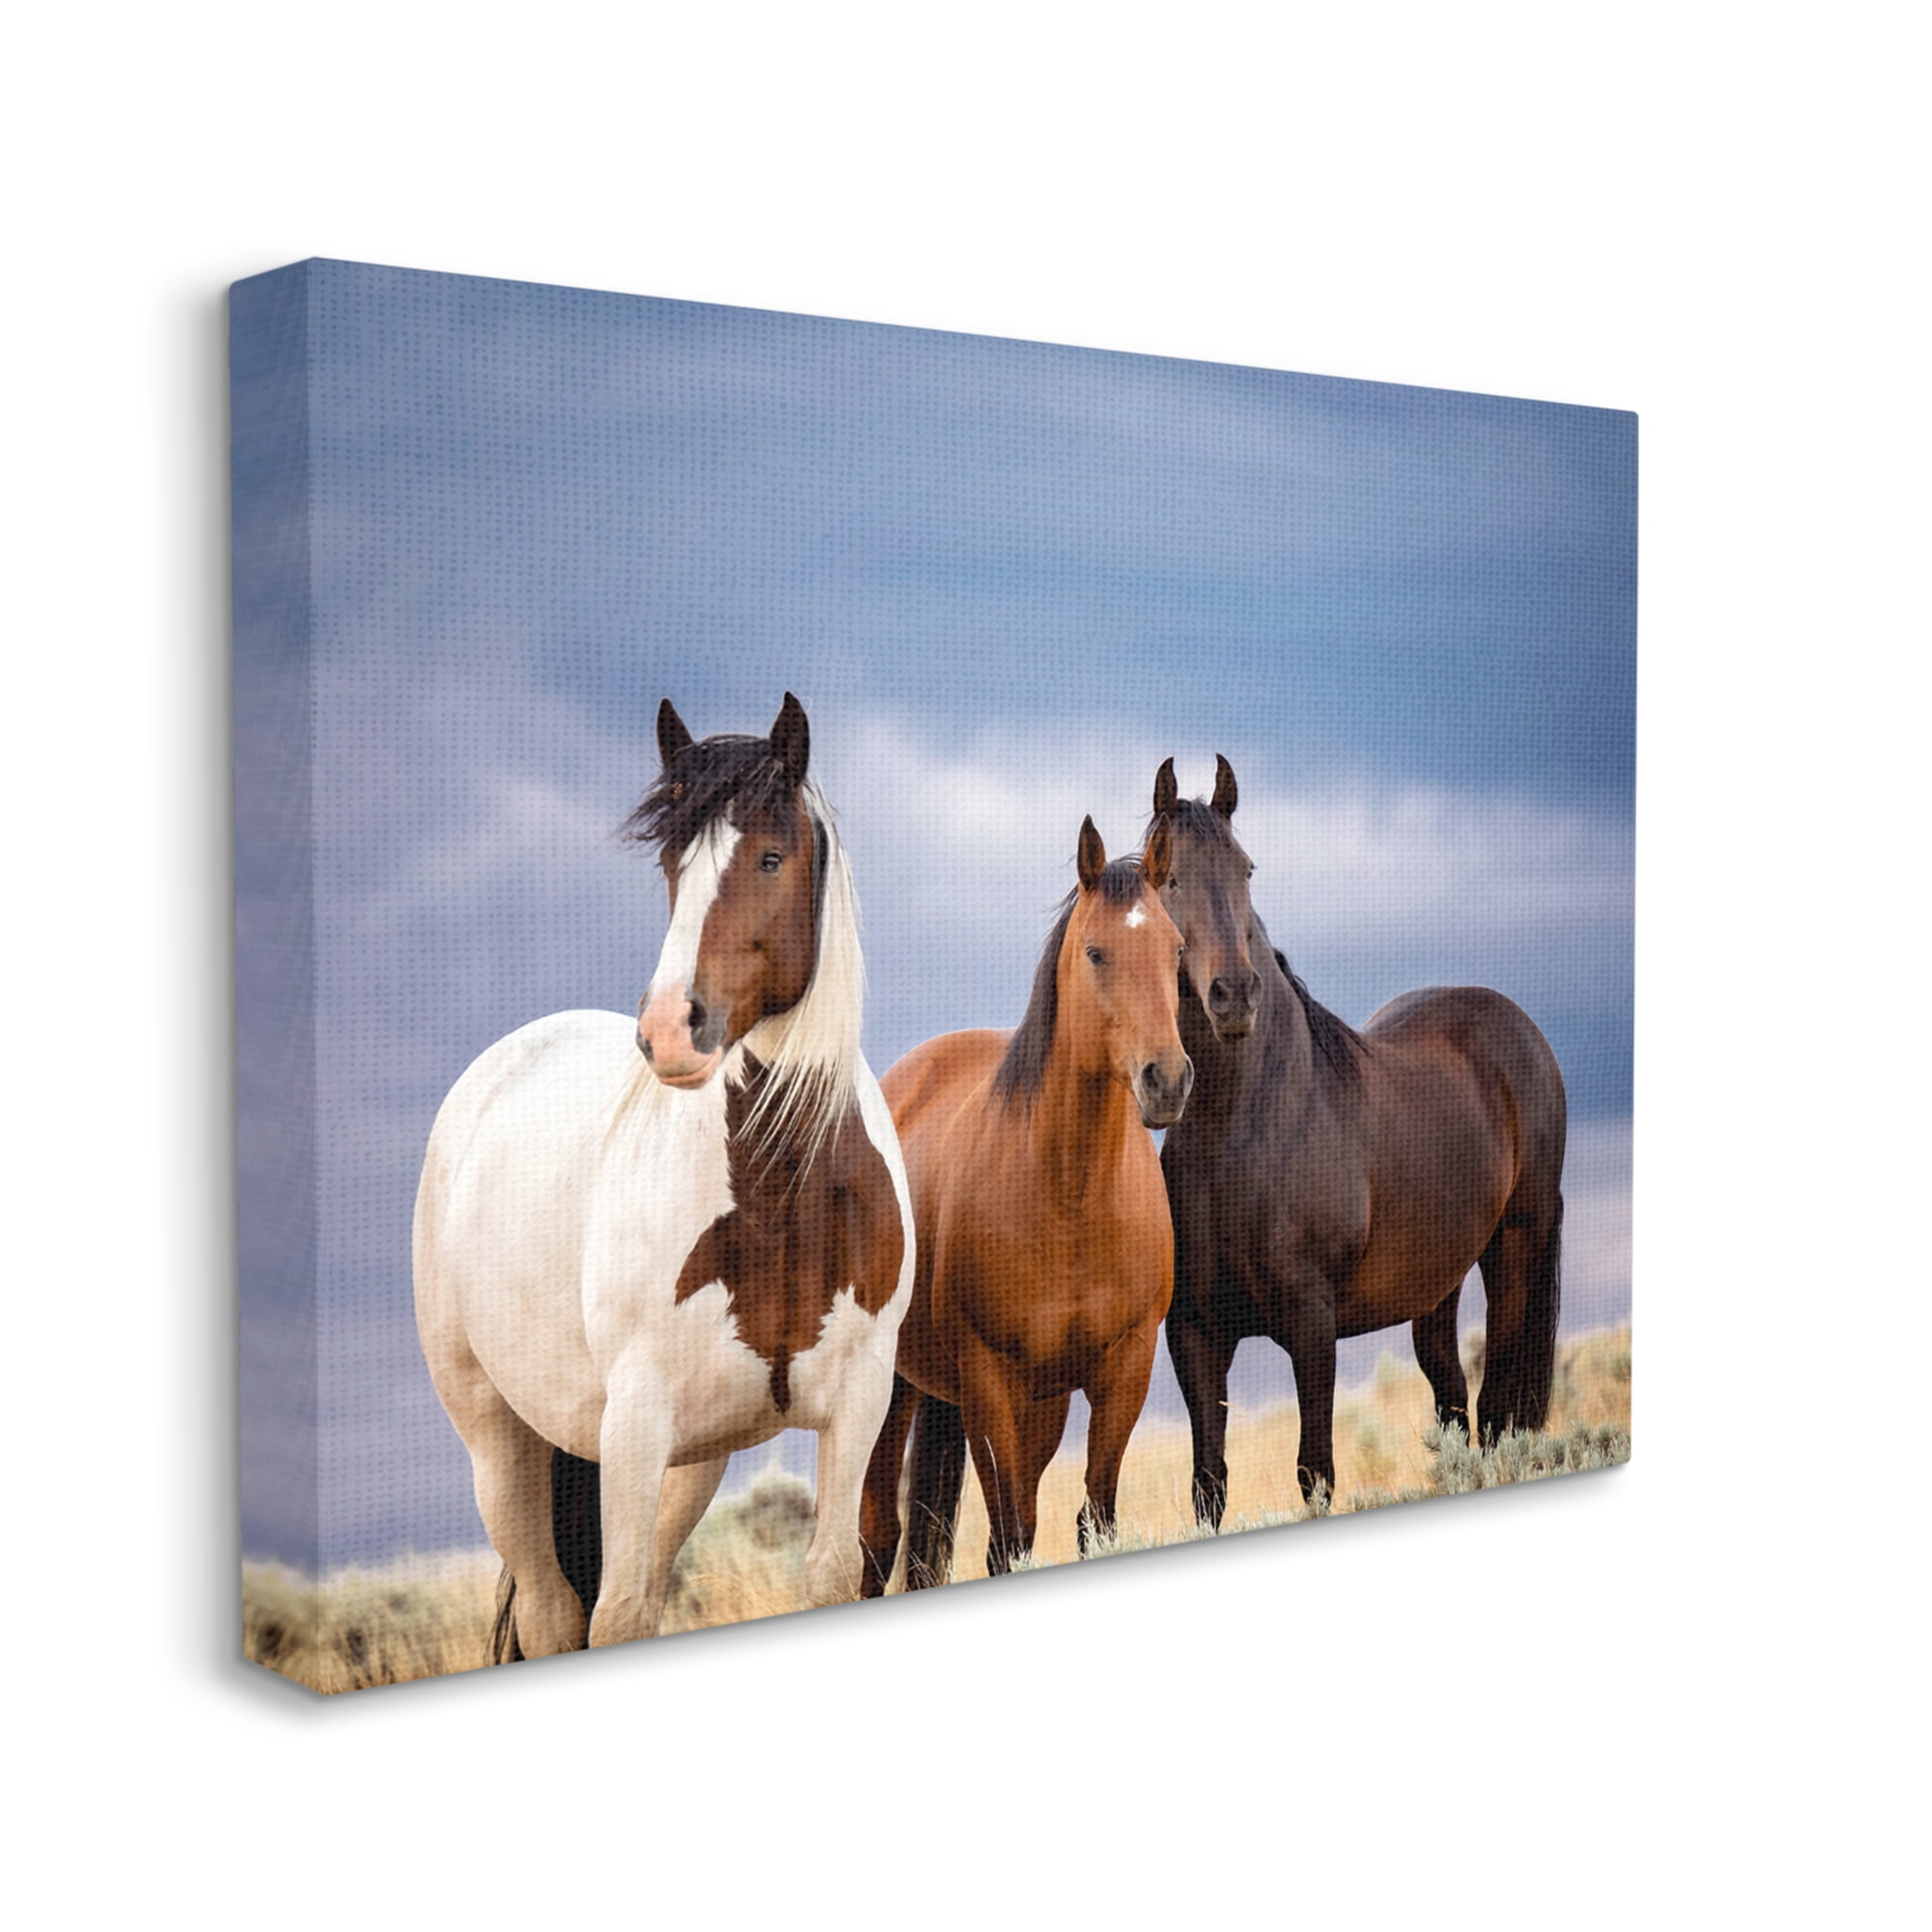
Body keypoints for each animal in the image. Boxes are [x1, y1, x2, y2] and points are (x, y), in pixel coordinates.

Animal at [413, 693, 915, 1654]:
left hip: (690, 1463)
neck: (779, 1192)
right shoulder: (636, 1421)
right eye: (673, 864)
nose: (670, 1031)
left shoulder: (858, 1404)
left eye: (770, 855)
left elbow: (834, 1571)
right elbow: (618, 1613)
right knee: (554, 1612)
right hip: (502, 1442)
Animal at [857, 814, 1192, 1591]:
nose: (1167, 1080)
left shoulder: (1121, 1373)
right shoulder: (989, 1384)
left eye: (1176, 949)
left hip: (1035, 1404)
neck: (1070, 1199)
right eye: (1096, 952)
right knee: (878, 1539)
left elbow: (1090, 1518)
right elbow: (1008, 1538)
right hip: (895, 1392)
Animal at [1150, 755, 1567, 1519]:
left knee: (1498, 1412)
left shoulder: (1312, 1329)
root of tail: (1518, 1028)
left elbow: (1315, 1472)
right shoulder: (1195, 1334)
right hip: (1437, 1286)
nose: (1235, 995)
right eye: (1168, 878)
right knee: (1454, 1405)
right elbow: (1208, 1484)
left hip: (1516, 1245)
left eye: (1247, 870)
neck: (1242, 1131)